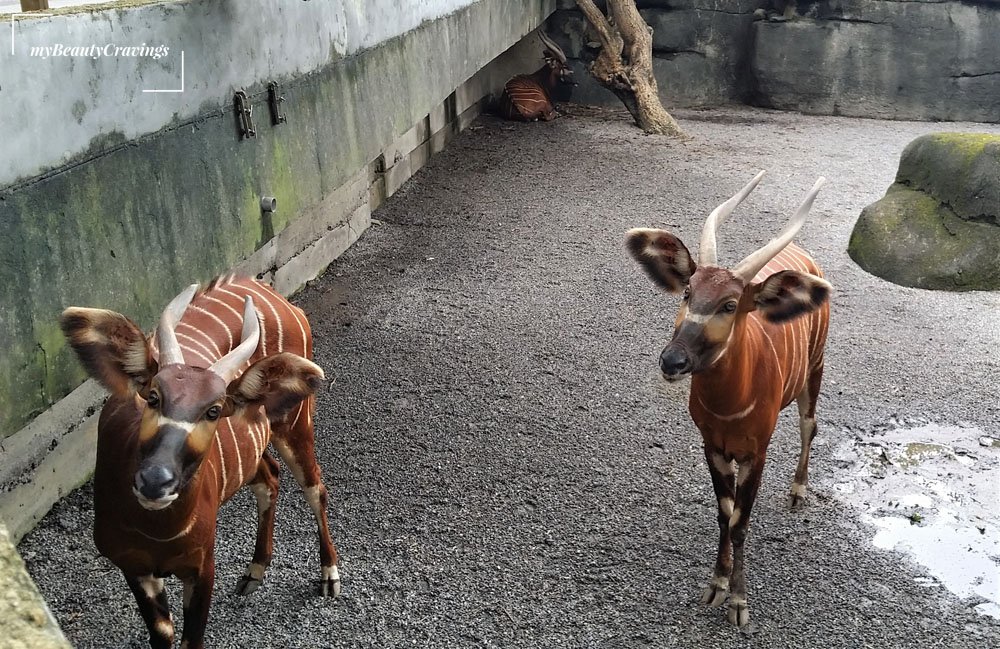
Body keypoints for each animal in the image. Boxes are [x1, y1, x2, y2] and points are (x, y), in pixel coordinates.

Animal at [60, 274, 340, 648]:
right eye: (153, 396)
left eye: (214, 410)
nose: (156, 481)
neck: (159, 533)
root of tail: (270, 293)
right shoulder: (133, 566)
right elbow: (163, 635)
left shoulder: (202, 566)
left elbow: (192, 639)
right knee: (270, 475)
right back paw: (254, 571)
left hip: (294, 422)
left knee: (314, 487)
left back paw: (329, 576)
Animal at [628, 173, 832, 628]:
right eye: (687, 291)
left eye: (730, 304)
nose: (672, 360)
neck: (729, 406)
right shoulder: (713, 446)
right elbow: (725, 512)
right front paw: (716, 586)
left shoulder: (756, 451)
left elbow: (741, 519)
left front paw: (739, 602)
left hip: (815, 366)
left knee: (809, 424)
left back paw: (798, 491)